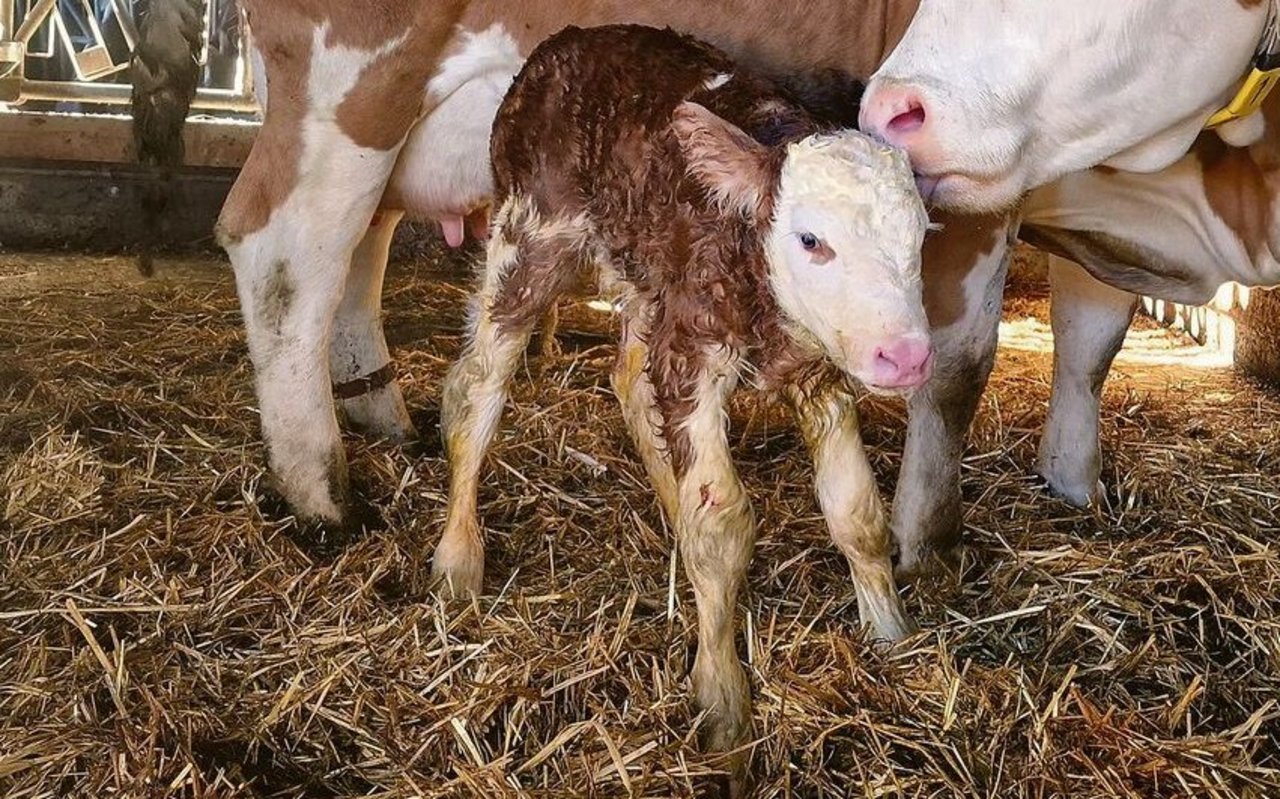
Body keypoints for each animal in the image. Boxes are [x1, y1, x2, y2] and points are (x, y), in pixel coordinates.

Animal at [432, 23, 931, 763]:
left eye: (922, 239)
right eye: (811, 240)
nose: (905, 356)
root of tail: (564, 41)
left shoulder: (815, 369)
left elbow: (857, 511)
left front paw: (890, 633)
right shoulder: (694, 350)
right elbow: (722, 525)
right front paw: (722, 701)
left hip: (650, 279)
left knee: (631, 385)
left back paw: (671, 508)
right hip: (532, 231)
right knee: (476, 387)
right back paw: (458, 560)